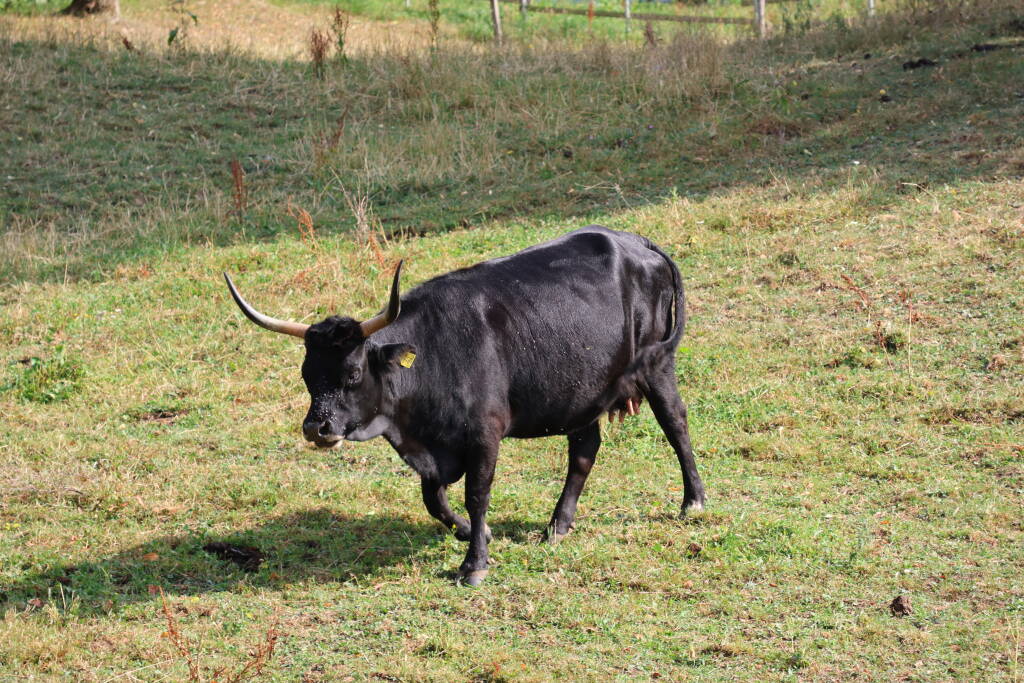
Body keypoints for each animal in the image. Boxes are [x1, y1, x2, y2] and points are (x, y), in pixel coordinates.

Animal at [224, 226, 706, 586]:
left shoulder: (484, 434)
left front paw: (474, 564)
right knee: (584, 452)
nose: (316, 428)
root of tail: (633, 241)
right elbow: (433, 499)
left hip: (657, 365)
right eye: (307, 374)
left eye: (353, 373)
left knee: (676, 424)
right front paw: (473, 532)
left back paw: (693, 502)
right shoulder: (430, 448)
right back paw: (558, 524)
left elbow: (477, 495)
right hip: (579, 391)